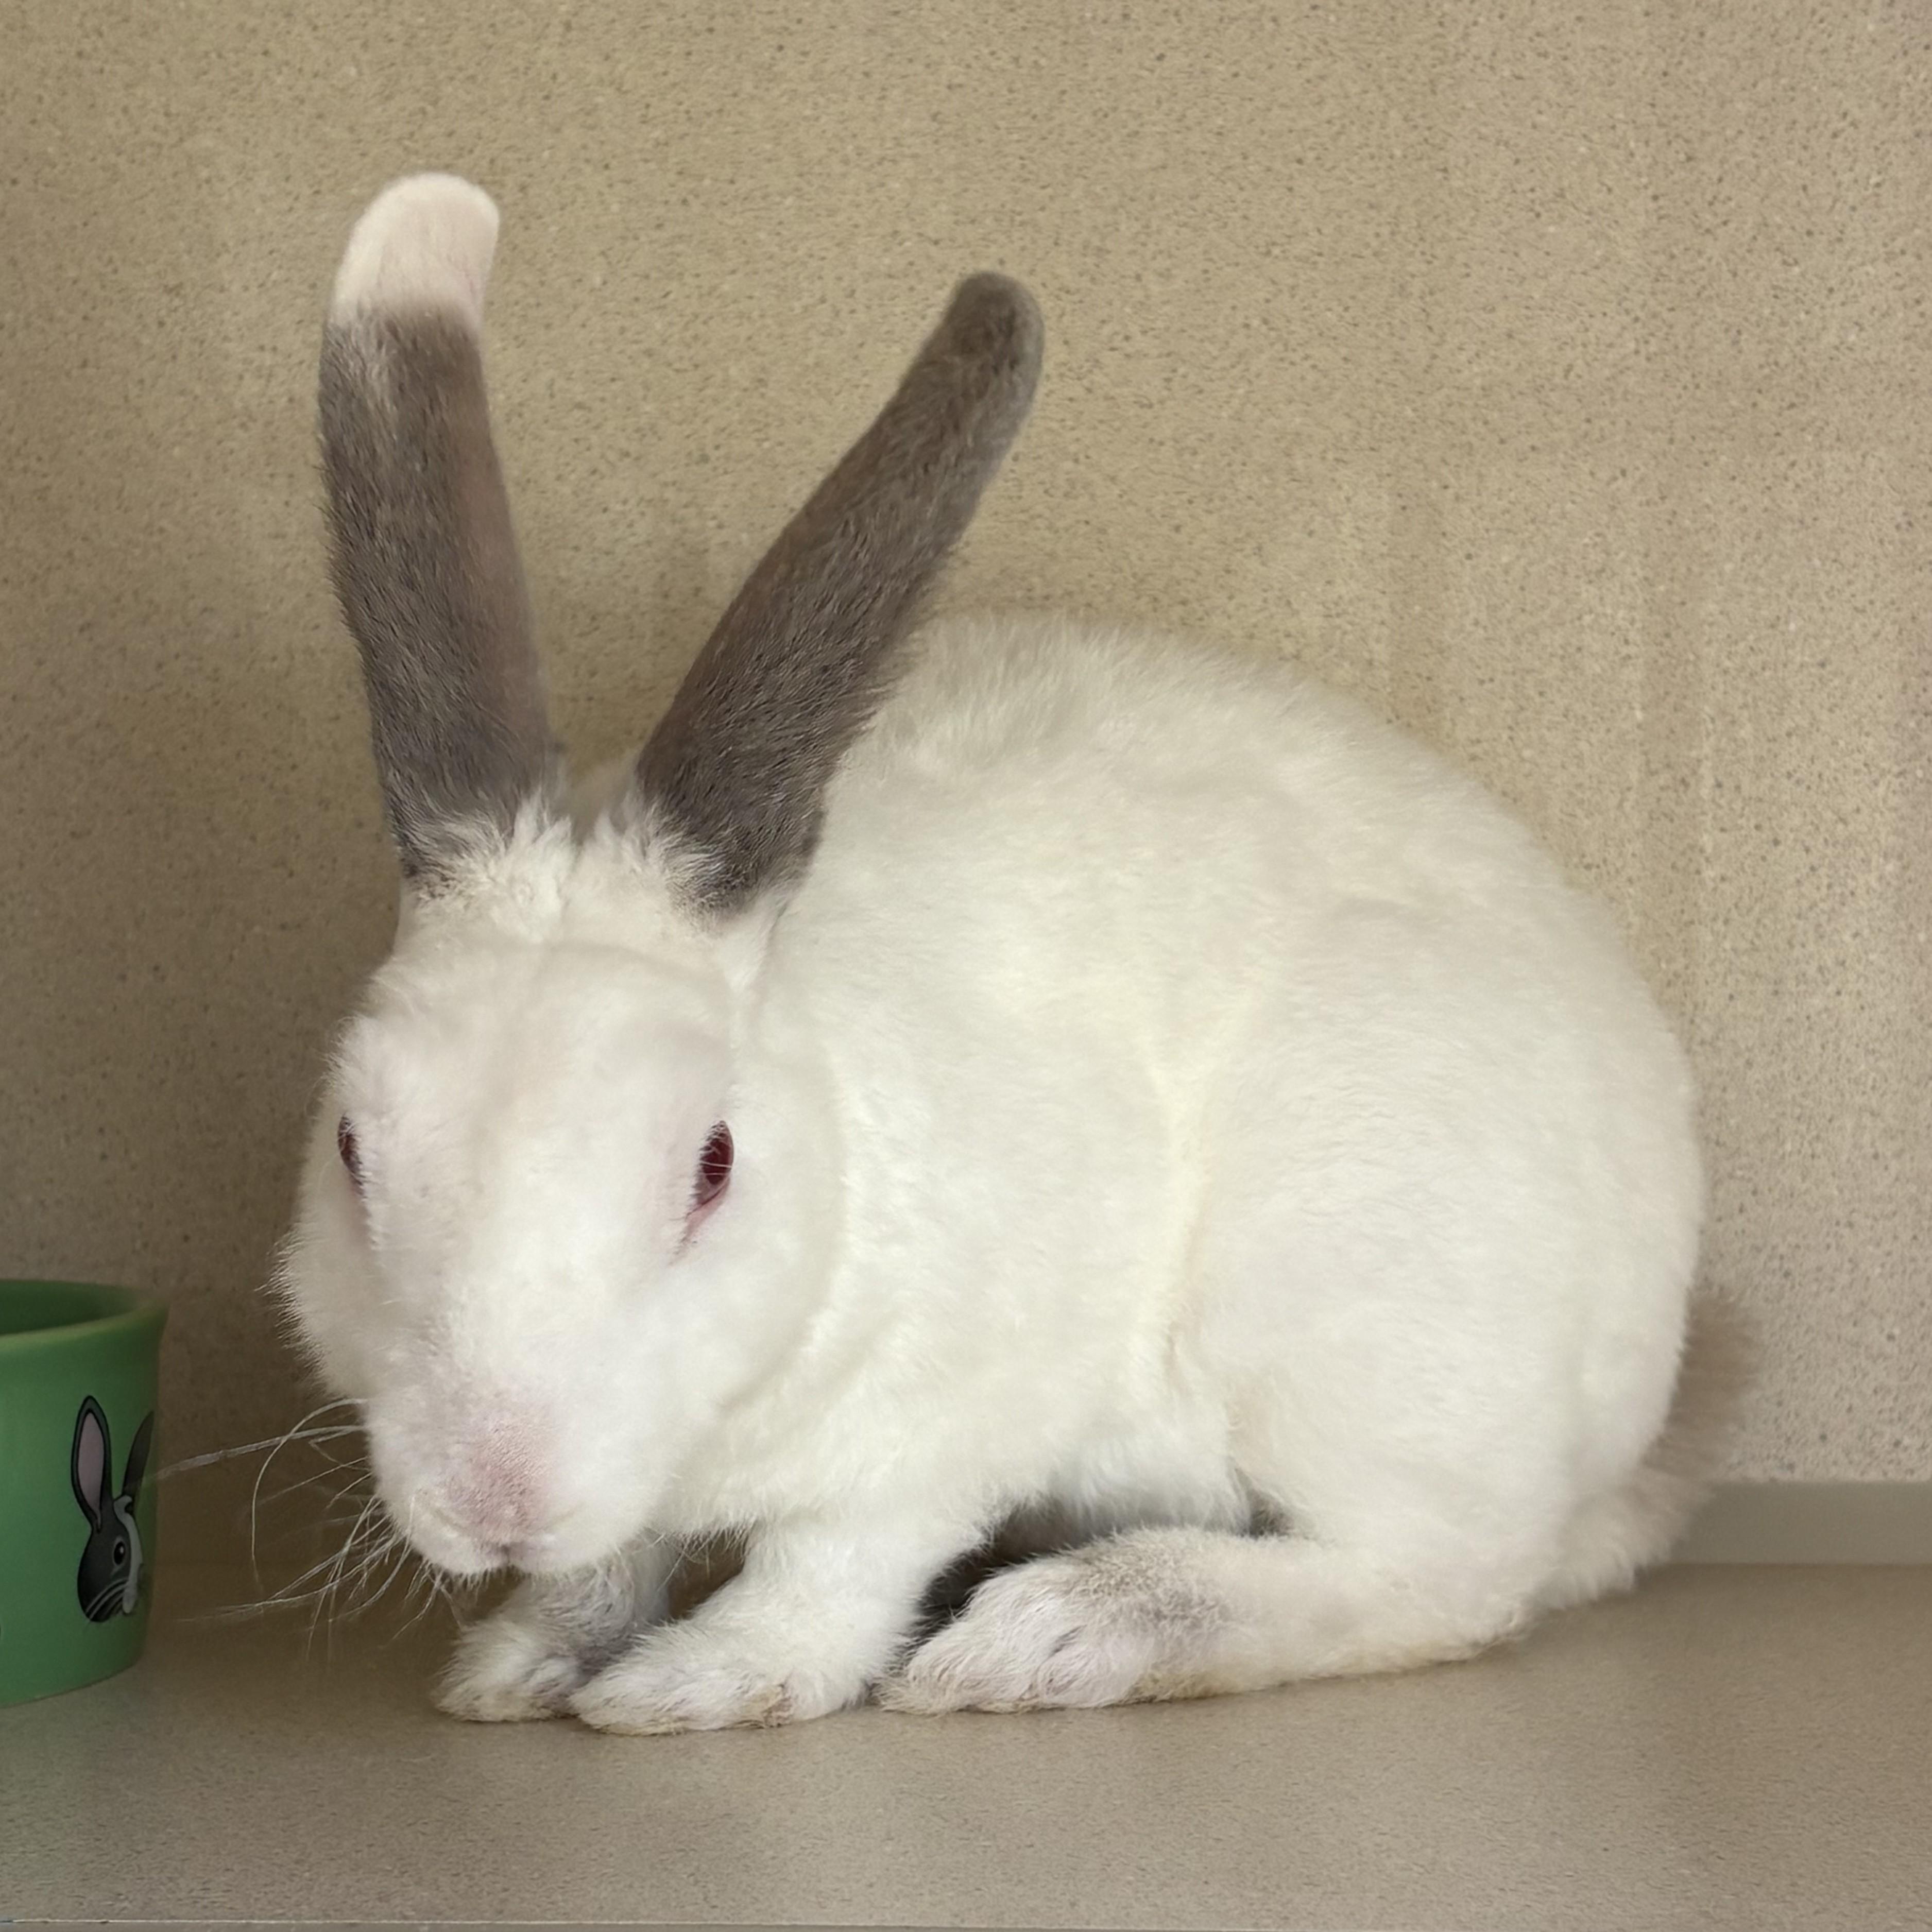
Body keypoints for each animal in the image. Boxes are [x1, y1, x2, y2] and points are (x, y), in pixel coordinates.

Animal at [274, 172, 1727, 1734]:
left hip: (1359, 1338)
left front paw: (695, 1684)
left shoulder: (935, 1425)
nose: (496, 1496)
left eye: (711, 1163)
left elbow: (830, 1567)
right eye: (352, 1148)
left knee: (1435, 1579)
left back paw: (1056, 1631)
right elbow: (612, 1561)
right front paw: (519, 1662)